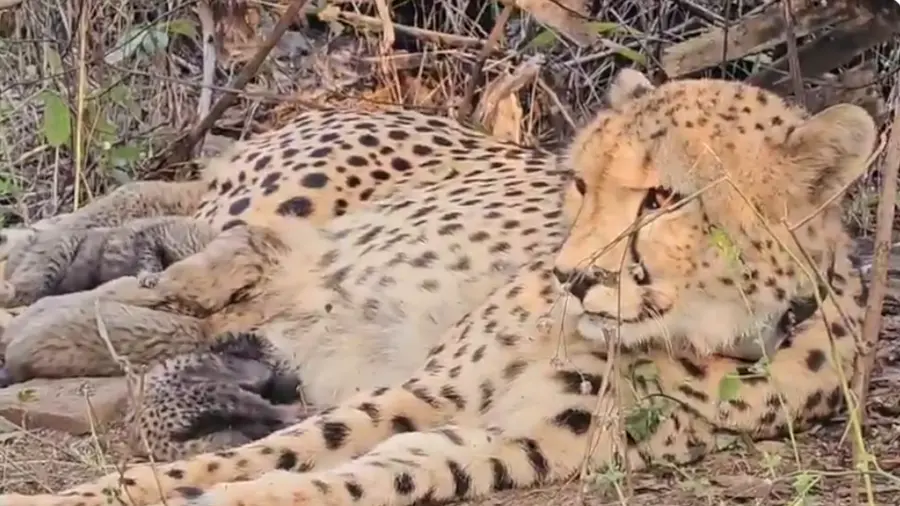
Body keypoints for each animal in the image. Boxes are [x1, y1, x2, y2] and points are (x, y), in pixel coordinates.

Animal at [0, 68, 876, 506]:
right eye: (581, 184)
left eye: (666, 198)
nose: (572, 276)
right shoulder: (432, 389)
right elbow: (273, 450)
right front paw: (93, 496)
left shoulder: (510, 442)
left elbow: (359, 474)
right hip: (283, 200)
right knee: (182, 233)